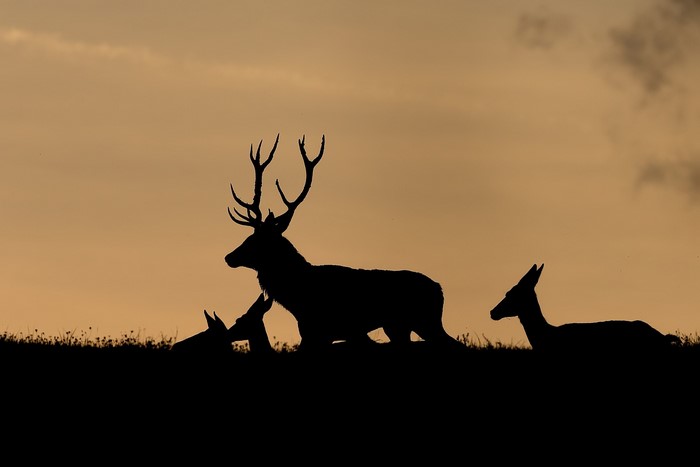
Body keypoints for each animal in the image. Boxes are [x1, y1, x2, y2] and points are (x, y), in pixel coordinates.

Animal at [224, 133, 464, 352]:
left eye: (255, 240)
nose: (229, 257)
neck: (298, 295)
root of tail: (439, 290)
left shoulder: (322, 330)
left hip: (425, 320)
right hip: (399, 326)